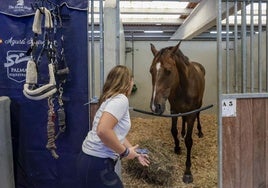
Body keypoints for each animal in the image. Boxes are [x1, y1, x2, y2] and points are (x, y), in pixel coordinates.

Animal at [149, 41, 205, 184]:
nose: (155, 106)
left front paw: (188, 172)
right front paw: (177, 147)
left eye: (168, 71)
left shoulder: (191, 113)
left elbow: (189, 141)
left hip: (199, 105)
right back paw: (183, 132)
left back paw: (200, 131)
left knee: (198, 116)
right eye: (151, 70)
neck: (183, 86)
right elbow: (173, 131)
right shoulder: (174, 110)